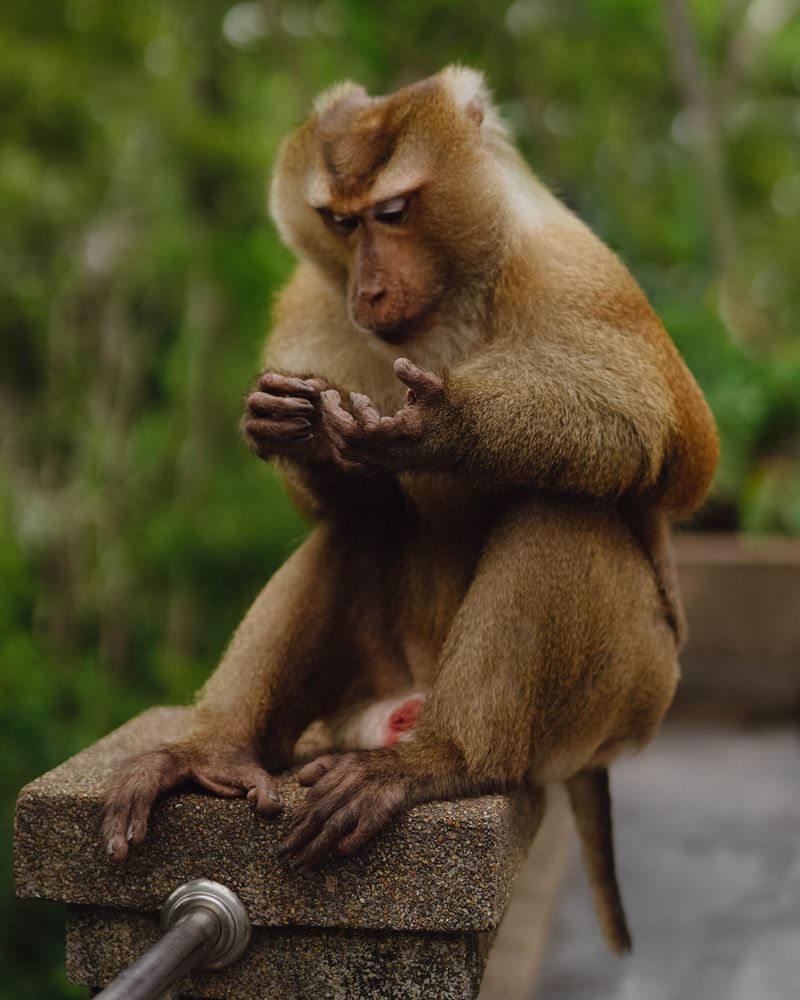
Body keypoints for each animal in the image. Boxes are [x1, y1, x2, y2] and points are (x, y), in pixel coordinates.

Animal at [102, 66, 718, 954]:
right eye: (341, 221)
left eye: (393, 213)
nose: (369, 287)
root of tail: (411, 701)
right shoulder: (314, 302)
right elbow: (343, 499)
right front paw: (305, 433)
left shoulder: (571, 272)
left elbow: (673, 446)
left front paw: (444, 427)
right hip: (369, 680)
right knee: (353, 529)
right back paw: (209, 752)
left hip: (626, 699)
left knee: (562, 512)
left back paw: (451, 760)